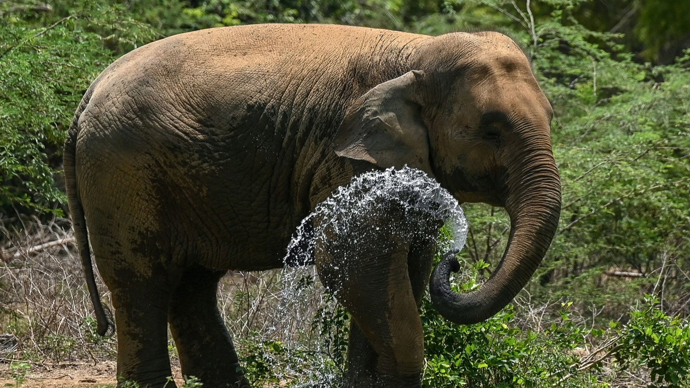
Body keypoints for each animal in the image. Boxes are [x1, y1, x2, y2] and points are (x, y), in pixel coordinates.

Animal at [63, 23, 560, 388]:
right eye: (491, 131)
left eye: (551, 118)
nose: (455, 262)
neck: (418, 53)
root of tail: (89, 93)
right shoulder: (342, 159)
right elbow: (352, 264)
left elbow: (406, 269)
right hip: (122, 170)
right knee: (143, 280)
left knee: (192, 285)